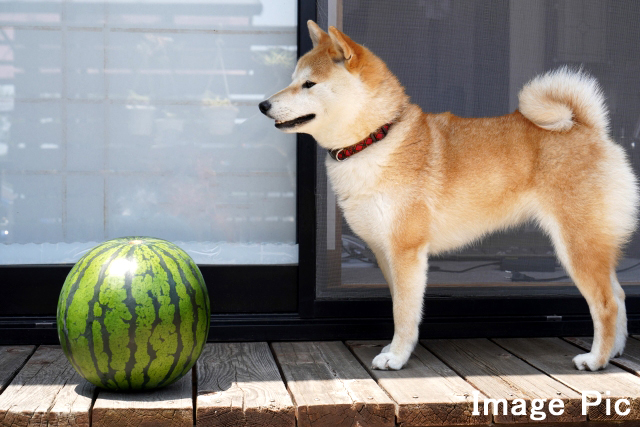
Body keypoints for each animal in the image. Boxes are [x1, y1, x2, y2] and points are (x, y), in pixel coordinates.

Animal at [258, 20, 636, 372]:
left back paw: (596, 359)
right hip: (593, 244)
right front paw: (395, 349)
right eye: (292, 79)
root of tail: (588, 127)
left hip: (577, 245)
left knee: (606, 303)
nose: (262, 104)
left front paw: (396, 357)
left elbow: (403, 312)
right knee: (619, 294)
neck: (375, 140)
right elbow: (399, 306)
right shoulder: (385, 252)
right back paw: (615, 351)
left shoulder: (406, 251)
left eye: (309, 84)